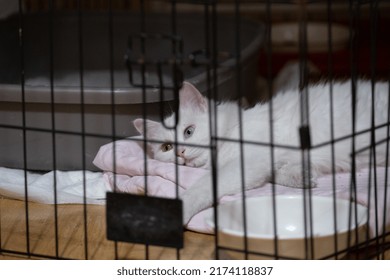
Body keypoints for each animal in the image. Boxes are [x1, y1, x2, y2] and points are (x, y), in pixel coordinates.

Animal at [133, 80, 386, 224]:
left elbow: (202, 187)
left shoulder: (247, 163)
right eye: (166, 147)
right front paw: (303, 177)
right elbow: (282, 173)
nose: (180, 152)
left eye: (189, 131)